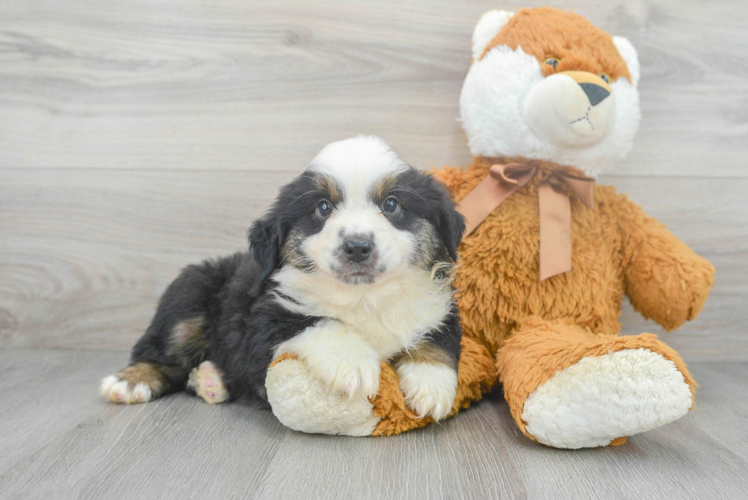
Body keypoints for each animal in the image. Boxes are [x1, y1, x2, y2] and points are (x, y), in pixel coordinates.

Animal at [99, 135, 462, 420]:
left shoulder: (440, 309)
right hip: (189, 292)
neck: (364, 297)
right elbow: (320, 322)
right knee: (162, 350)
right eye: (323, 207)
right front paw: (354, 365)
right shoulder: (261, 320)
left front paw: (431, 386)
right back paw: (131, 381)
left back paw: (210, 379)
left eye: (391, 204)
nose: (357, 246)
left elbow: (436, 341)